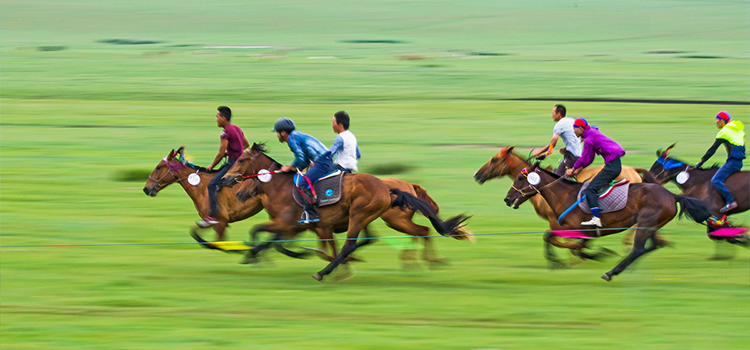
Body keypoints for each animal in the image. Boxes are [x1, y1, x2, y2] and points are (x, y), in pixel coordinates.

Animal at [223, 142, 470, 282]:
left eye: (242, 160)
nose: (227, 181)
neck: (280, 188)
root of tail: (389, 187)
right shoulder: (302, 227)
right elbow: (272, 241)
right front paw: (256, 255)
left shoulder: (291, 224)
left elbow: (260, 233)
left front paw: (253, 255)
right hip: (369, 218)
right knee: (417, 231)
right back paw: (426, 262)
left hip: (364, 215)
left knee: (356, 243)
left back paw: (324, 272)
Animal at [476, 144, 656, 260]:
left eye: (494, 160)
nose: (477, 175)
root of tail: (634, 170)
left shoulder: (556, 221)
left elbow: (559, 240)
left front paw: (580, 253)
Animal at [506, 162, 712, 282]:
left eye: (520, 177)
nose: (507, 199)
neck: (565, 195)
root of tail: (672, 195)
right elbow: (556, 239)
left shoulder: (574, 228)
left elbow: (553, 238)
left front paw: (560, 259)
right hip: (650, 225)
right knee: (651, 246)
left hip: (646, 222)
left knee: (638, 248)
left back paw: (611, 272)